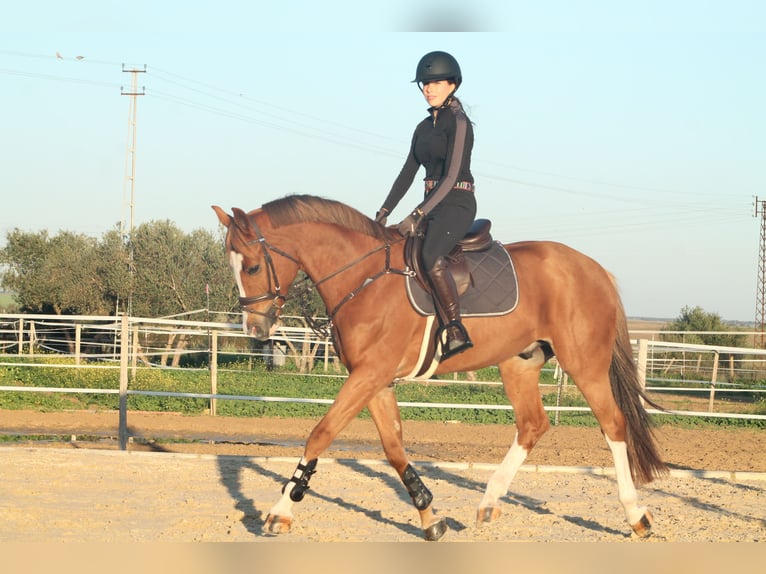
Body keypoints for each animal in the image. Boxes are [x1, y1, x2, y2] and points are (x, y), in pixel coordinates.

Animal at [213, 196, 668, 544]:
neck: (364, 278)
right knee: (532, 425)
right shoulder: (375, 380)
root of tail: (595, 269)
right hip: (519, 363)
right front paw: (430, 517)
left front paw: (281, 510)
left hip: (585, 364)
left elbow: (320, 433)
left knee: (613, 425)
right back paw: (489, 502)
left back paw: (636, 516)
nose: (254, 329)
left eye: (252, 267)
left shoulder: (368, 375)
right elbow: (394, 447)